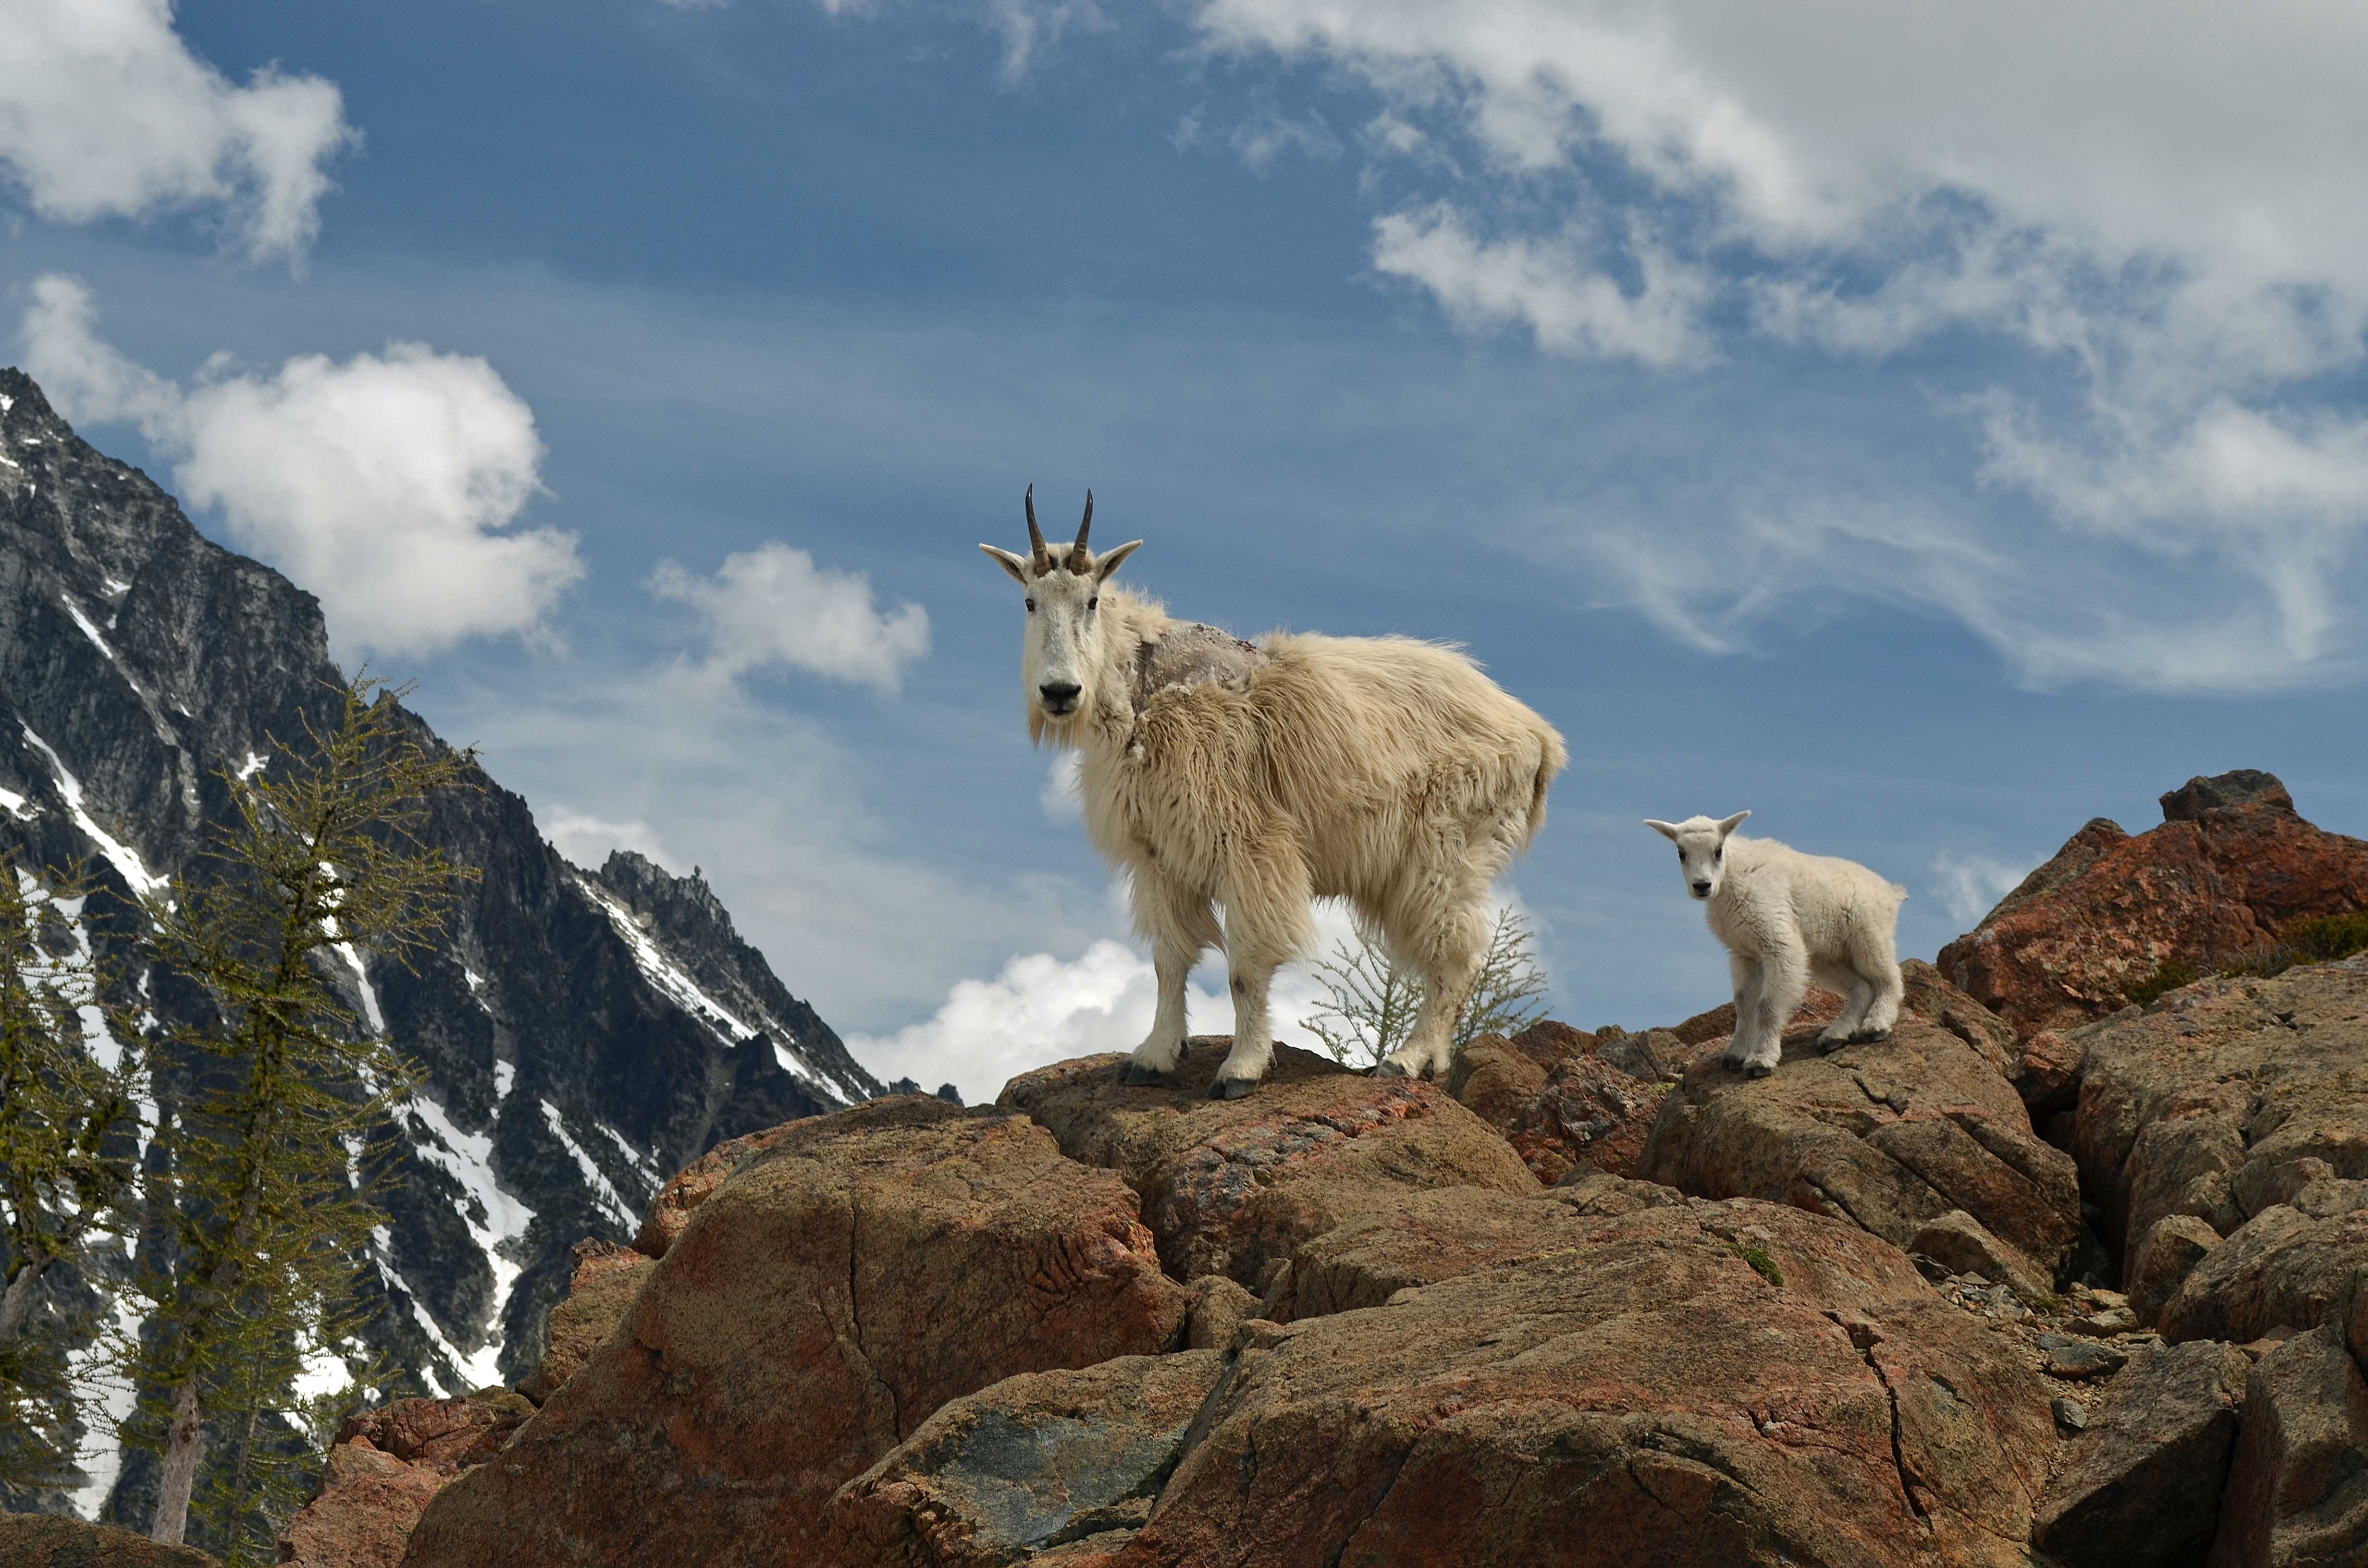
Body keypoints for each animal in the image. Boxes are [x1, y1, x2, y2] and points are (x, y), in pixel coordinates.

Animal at [983, 489, 1566, 1097]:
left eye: (1092, 600)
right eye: (1029, 601)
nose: (1059, 692)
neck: (1143, 691)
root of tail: (1539, 737)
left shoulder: (1250, 847)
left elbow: (1244, 968)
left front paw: (1240, 1069)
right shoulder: (1158, 857)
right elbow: (1168, 961)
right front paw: (1152, 1057)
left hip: (1449, 851)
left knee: (1457, 957)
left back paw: (1407, 1059)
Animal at [1644, 812, 1905, 1078]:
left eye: (1718, 851)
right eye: (1681, 853)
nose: (1702, 886)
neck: (1731, 879)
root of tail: (1891, 892)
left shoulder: (1778, 943)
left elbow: (1767, 1006)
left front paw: (1761, 1061)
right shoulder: (1744, 953)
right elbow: (1743, 1003)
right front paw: (1735, 1054)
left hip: (1869, 936)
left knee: (1888, 977)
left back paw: (1877, 1025)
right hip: (1827, 956)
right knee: (1861, 987)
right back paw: (1836, 1035)